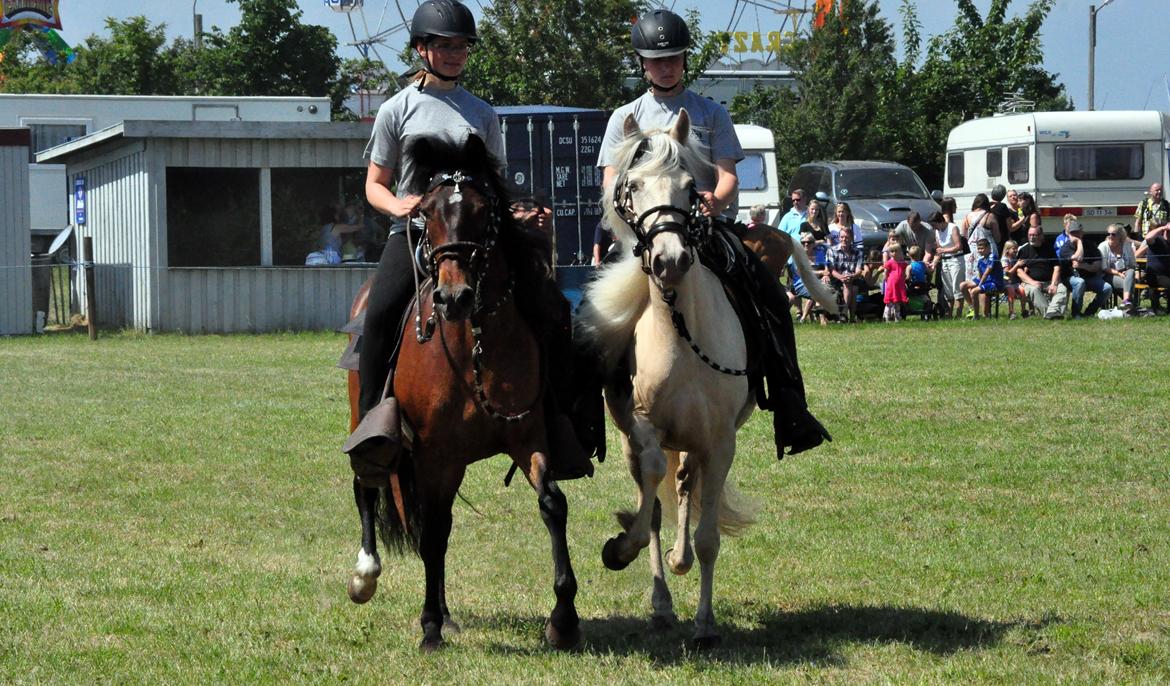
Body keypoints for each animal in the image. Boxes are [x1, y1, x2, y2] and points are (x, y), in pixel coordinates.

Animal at [341, 134, 580, 650]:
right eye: (427, 211)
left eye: (481, 209)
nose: (453, 298)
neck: (474, 346)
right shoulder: (435, 454)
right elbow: (431, 532)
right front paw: (429, 626)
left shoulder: (526, 437)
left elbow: (552, 504)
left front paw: (564, 618)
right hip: (368, 421)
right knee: (368, 484)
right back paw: (366, 575)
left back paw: (448, 613)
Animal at [573, 109, 833, 641]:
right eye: (632, 185)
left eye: (691, 187)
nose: (670, 260)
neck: (678, 333)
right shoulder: (642, 428)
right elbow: (649, 499)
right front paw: (623, 549)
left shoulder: (719, 440)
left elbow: (708, 532)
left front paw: (705, 622)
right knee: (662, 492)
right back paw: (662, 597)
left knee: (685, 485)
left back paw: (682, 561)